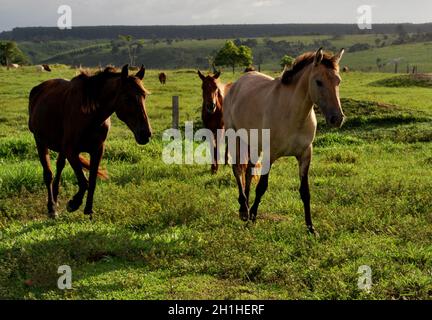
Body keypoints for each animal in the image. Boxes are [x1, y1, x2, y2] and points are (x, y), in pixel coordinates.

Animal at [28, 63, 152, 219]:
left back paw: (55, 200)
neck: (90, 114)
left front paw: (88, 209)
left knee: (59, 166)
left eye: (144, 96)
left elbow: (92, 181)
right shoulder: (71, 151)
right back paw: (51, 208)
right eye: (127, 98)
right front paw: (73, 204)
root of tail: (38, 89)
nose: (146, 134)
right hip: (40, 142)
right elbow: (84, 182)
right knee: (48, 175)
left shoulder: (97, 150)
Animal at [224, 47, 346, 234]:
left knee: (249, 170)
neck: (293, 115)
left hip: (253, 144)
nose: (337, 118)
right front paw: (252, 218)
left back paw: (245, 208)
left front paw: (311, 228)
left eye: (338, 81)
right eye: (318, 82)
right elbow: (262, 187)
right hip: (235, 138)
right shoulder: (270, 154)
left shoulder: (305, 155)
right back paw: (244, 209)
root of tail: (237, 83)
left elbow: (305, 191)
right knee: (237, 169)